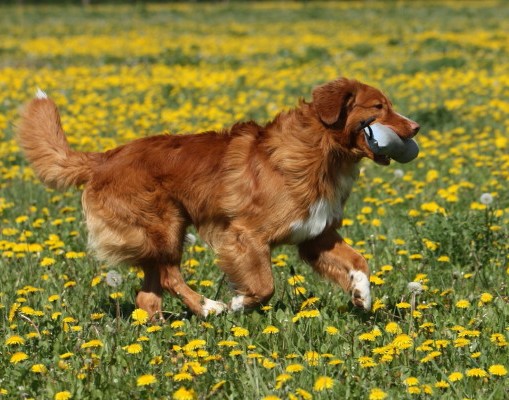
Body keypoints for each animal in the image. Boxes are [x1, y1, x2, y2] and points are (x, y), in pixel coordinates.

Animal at [17, 78, 419, 319]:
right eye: (378, 107)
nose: (416, 128)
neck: (319, 151)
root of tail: (104, 158)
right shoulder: (244, 235)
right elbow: (265, 285)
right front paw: (240, 302)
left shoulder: (317, 235)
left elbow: (359, 261)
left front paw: (362, 295)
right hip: (165, 226)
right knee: (169, 276)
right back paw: (209, 307)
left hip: (160, 233)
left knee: (148, 295)